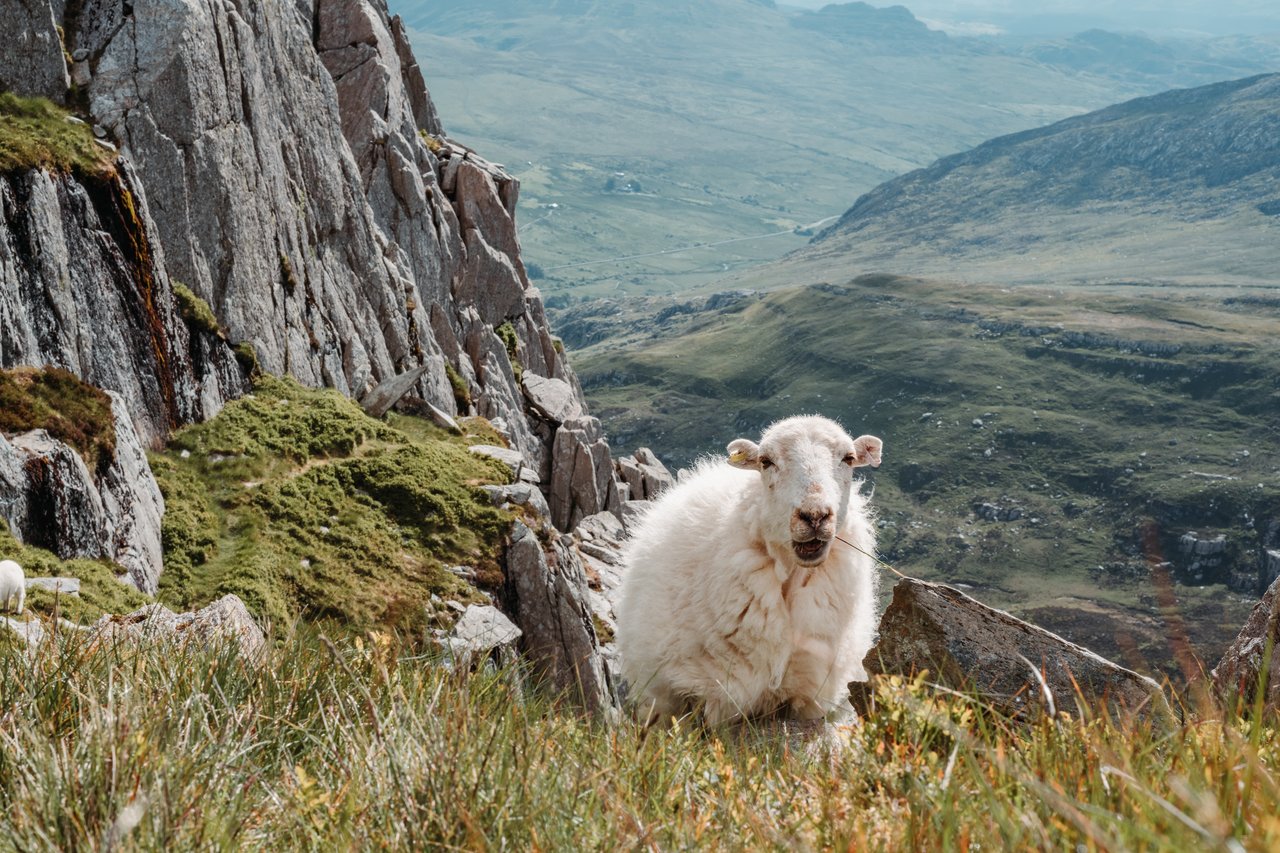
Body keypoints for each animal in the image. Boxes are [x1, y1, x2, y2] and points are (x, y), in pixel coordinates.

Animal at [616, 414, 880, 722]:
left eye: (848, 459)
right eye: (766, 461)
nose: (815, 516)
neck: (789, 574)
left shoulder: (810, 696)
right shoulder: (715, 694)